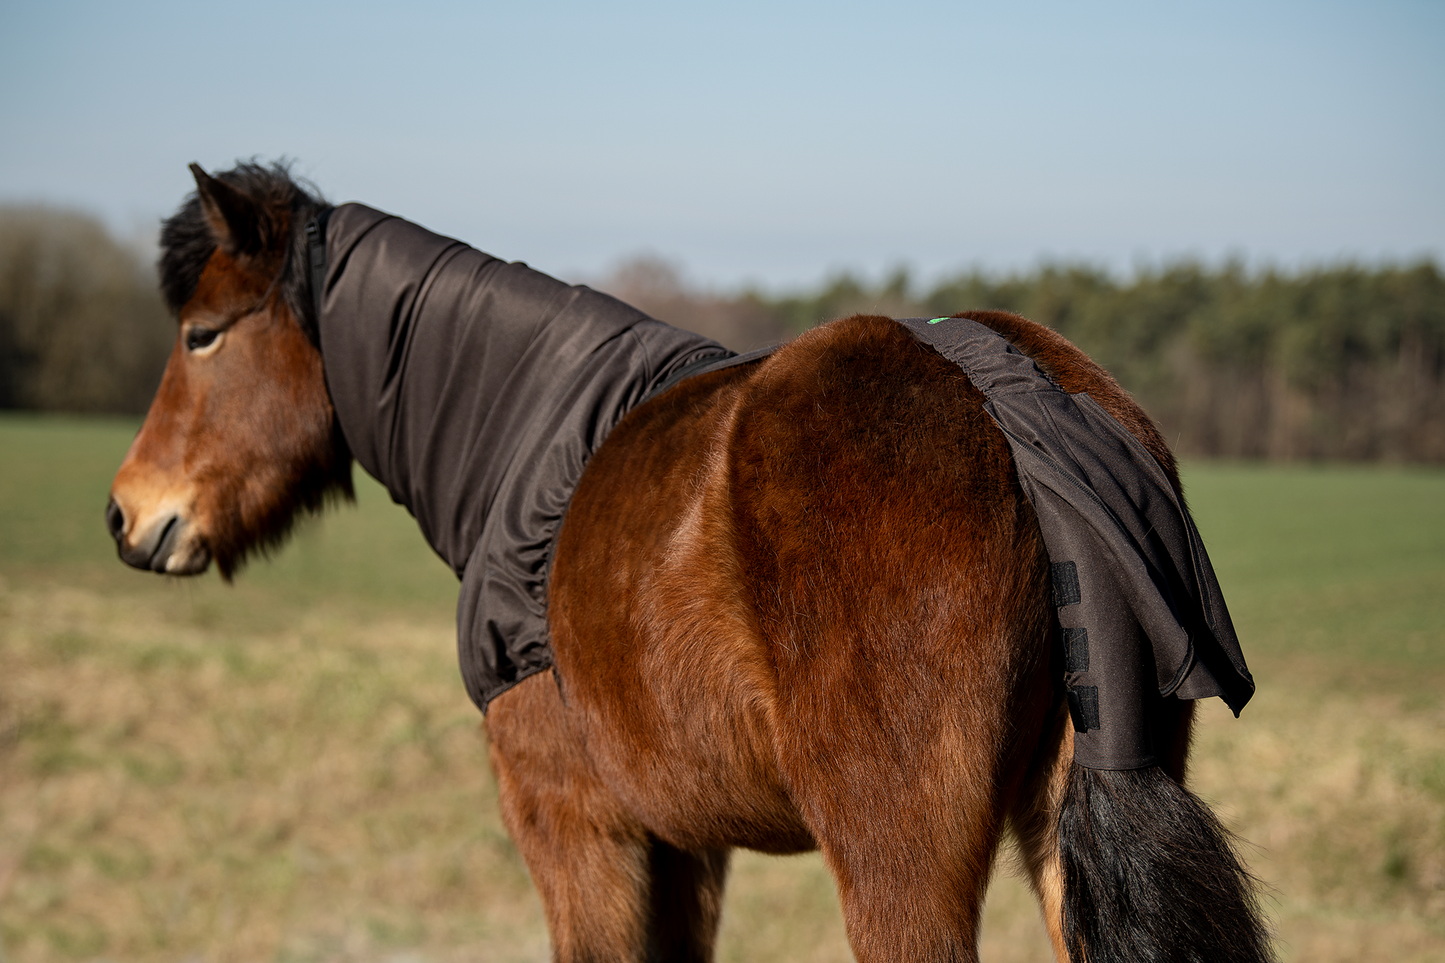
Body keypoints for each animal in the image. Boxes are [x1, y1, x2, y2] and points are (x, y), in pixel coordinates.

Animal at [106, 161, 1271, 954]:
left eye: (203, 333)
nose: (128, 513)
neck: (533, 430)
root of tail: (1011, 390)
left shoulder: (576, 828)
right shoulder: (684, 847)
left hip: (900, 858)